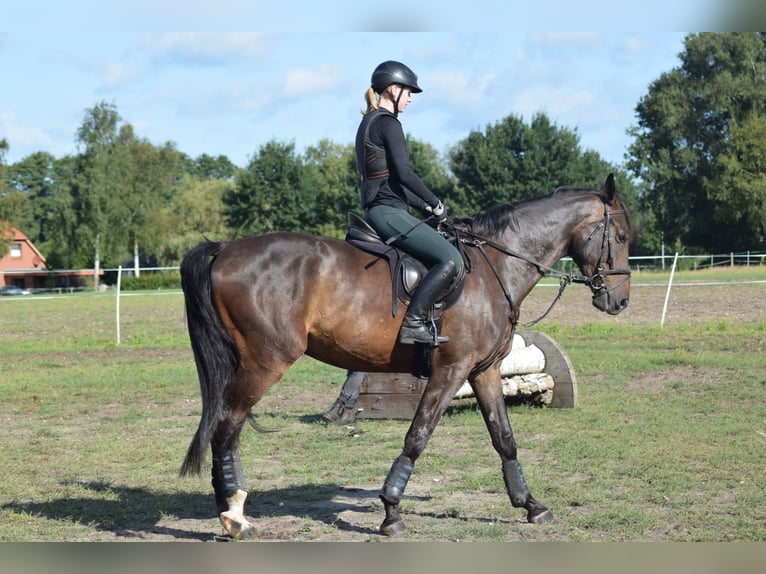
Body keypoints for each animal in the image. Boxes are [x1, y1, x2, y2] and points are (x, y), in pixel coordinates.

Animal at [178, 172, 632, 540]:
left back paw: (229, 506)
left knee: (226, 425)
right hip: (266, 361)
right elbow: (417, 436)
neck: (497, 265)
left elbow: (504, 438)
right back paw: (234, 516)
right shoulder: (451, 370)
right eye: (623, 237)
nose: (620, 301)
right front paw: (391, 511)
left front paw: (531, 505)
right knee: (226, 425)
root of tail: (226, 248)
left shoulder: (484, 371)